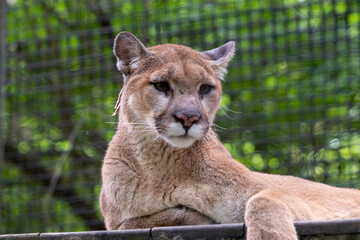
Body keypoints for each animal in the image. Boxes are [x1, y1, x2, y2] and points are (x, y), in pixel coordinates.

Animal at [100, 31, 360, 238]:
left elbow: (262, 201)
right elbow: (134, 223)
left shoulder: (286, 198)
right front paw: (188, 214)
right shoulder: (114, 222)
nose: (189, 118)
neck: (162, 168)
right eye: (162, 85)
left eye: (205, 88)